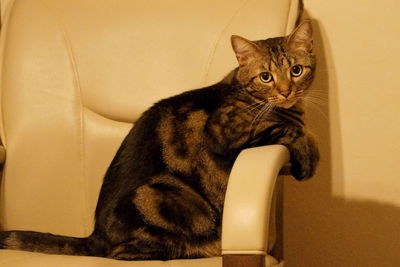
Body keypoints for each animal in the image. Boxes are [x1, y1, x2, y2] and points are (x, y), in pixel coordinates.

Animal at [0, 19, 318, 260]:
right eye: (266, 77)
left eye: (296, 70)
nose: (286, 91)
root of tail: (94, 237)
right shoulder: (225, 133)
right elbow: (287, 129)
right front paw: (307, 155)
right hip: (164, 200)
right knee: (129, 253)